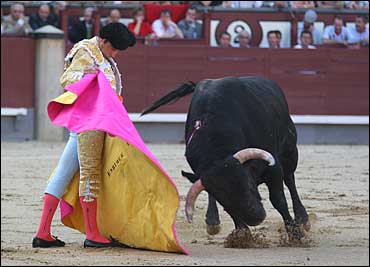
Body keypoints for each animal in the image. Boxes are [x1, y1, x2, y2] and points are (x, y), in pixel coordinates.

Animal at [143, 76, 310, 240]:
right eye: (223, 198)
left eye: (249, 184)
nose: (255, 218)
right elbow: (226, 207)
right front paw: (242, 236)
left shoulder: (273, 167)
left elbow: (278, 200)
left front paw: (295, 234)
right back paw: (212, 222)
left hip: (290, 150)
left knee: (290, 179)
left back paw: (303, 219)